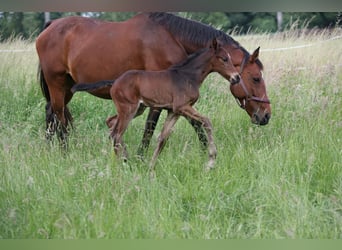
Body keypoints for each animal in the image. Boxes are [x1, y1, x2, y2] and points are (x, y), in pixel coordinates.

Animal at [36, 12, 272, 152]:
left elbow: (192, 123)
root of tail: (50, 25)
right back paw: (66, 153)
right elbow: (151, 127)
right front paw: (141, 157)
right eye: (255, 78)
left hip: (67, 88)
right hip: (57, 85)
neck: (172, 37)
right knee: (59, 118)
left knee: (50, 114)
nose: (266, 115)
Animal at [71, 38, 240, 172]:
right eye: (224, 58)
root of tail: (115, 81)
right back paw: (124, 164)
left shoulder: (174, 111)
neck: (188, 76)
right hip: (129, 109)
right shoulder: (182, 107)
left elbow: (162, 138)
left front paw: (151, 168)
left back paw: (125, 160)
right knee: (116, 134)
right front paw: (211, 161)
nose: (236, 78)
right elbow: (207, 121)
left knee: (111, 124)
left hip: (137, 109)